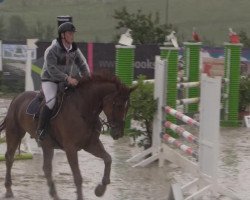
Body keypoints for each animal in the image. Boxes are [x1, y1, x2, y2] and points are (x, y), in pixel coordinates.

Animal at [0, 73, 136, 200]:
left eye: (128, 106)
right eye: (118, 105)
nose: (119, 133)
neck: (83, 109)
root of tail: (17, 97)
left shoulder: (90, 144)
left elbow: (108, 159)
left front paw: (100, 189)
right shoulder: (71, 148)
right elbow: (78, 176)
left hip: (47, 144)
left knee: (46, 168)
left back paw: (54, 194)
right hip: (15, 133)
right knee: (9, 158)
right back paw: (8, 190)